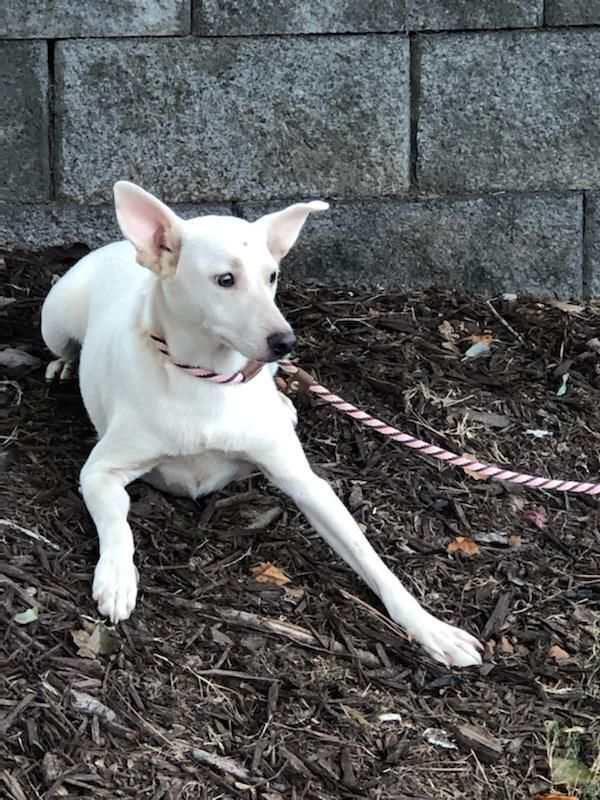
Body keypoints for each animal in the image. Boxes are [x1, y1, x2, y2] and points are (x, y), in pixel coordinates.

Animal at [41, 183, 482, 668]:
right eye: (225, 280)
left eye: (272, 276)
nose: (286, 341)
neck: (207, 380)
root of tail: (118, 246)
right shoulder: (100, 472)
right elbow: (117, 524)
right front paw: (118, 577)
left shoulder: (307, 483)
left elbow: (370, 558)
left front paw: (429, 626)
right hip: (55, 319)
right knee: (63, 345)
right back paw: (64, 363)